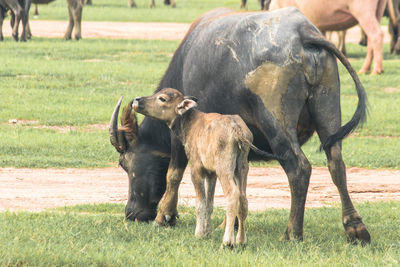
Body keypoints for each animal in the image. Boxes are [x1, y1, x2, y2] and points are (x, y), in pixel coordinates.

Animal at [132, 89, 282, 248]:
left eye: (162, 98)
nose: (137, 100)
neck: (189, 127)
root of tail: (237, 129)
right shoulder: (211, 174)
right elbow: (210, 203)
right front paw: (207, 232)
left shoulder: (196, 169)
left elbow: (201, 203)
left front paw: (199, 233)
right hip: (242, 167)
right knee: (243, 198)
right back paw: (241, 240)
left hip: (224, 168)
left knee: (233, 194)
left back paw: (228, 242)